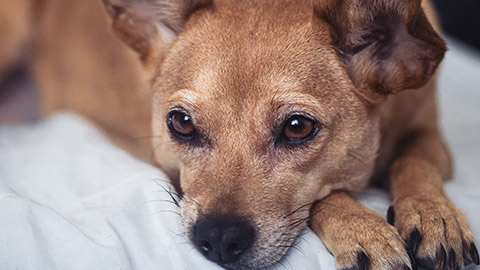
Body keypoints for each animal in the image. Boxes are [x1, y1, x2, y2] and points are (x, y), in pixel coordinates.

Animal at [1, 0, 478, 268]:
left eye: (297, 128)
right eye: (181, 123)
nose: (218, 239)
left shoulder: (430, 135)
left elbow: (413, 160)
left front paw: (435, 215)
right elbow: (326, 196)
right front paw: (362, 227)